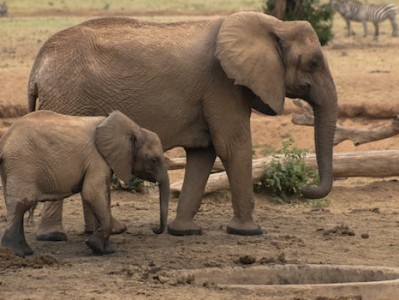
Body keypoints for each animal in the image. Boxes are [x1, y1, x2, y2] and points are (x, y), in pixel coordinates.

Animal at [0, 110, 170, 255]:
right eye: (154, 160)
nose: (155, 229)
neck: (134, 129)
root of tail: (4, 141)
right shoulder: (97, 158)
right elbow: (93, 194)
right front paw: (96, 247)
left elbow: (101, 196)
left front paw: (106, 249)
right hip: (23, 164)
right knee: (22, 203)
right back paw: (17, 252)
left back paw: (24, 252)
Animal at [27, 11, 338, 239]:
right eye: (313, 62)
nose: (304, 189)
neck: (275, 25)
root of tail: (37, 65)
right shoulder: (222, 84)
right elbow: (232, 146)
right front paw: (249, 232)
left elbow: (205, 152)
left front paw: (184, 232)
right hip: (67, 98)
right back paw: (53, 236)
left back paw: (107, 231)